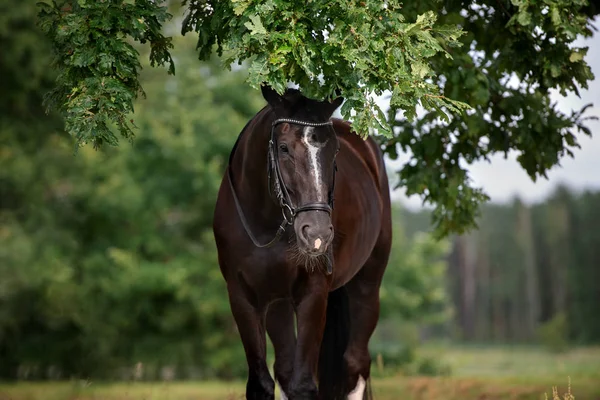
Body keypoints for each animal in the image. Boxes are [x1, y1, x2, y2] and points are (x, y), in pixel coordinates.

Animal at [213, 86, 392, 398]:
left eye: (335, 152)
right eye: (283, 148)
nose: (317, 234)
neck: (266, 226)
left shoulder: (313, 293)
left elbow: (303, 385)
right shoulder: (243, 297)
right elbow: (262, 383)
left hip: (367, 285)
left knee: (355, 364)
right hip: (279, 303)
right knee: (285, 368)